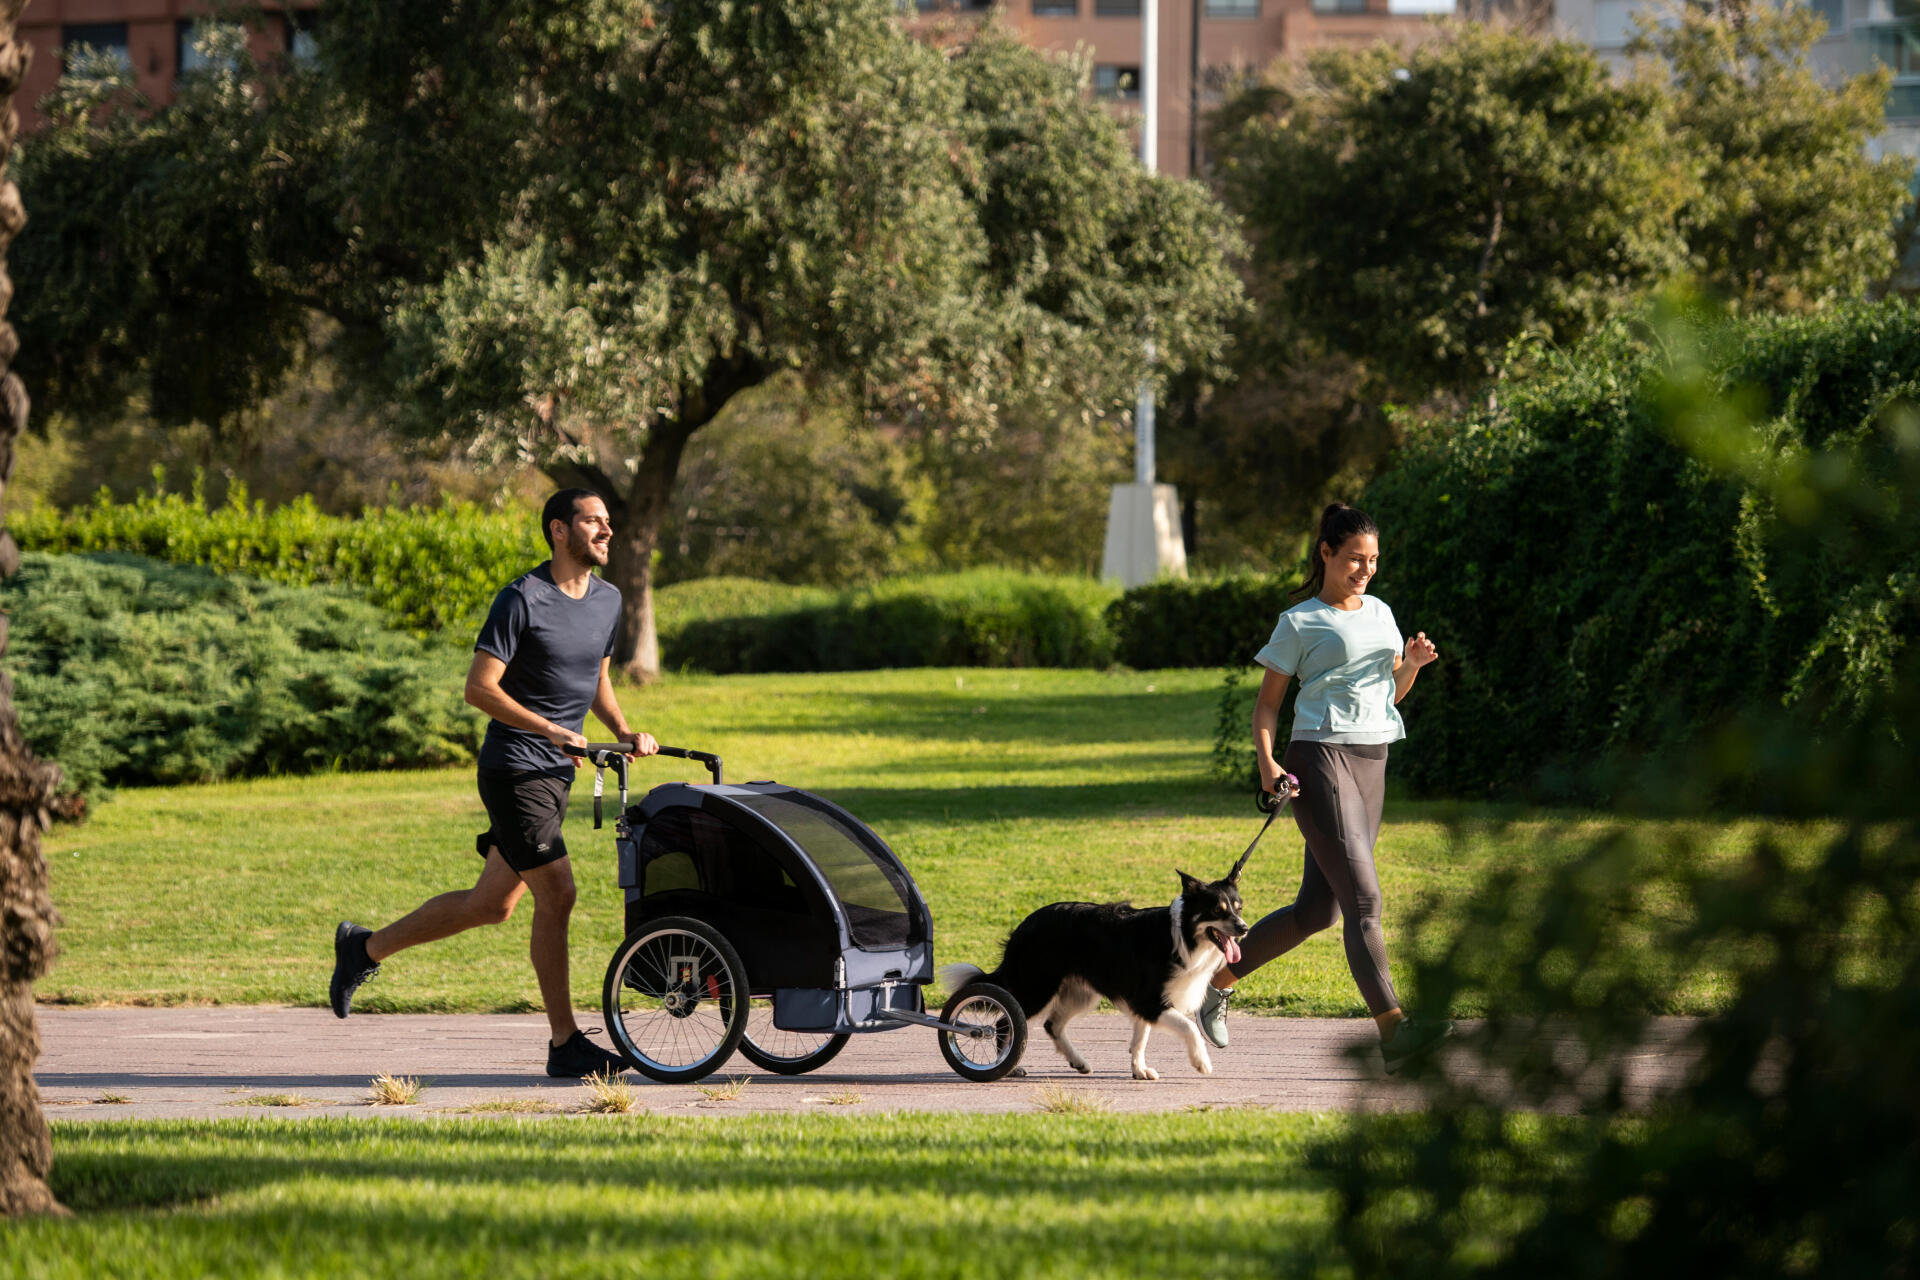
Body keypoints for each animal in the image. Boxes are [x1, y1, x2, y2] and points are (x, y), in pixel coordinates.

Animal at [936, 859, 1251, 1082]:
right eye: (1218, 910)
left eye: (1238, 907)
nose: (1244, 928)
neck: (1182, 936)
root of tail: (1024, 926)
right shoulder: (1149, 1000)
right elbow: (1189, 1028)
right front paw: (1202, 1062)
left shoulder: (1142, 1001)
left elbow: (1140, 1039)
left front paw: (1139, 1070)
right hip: (1037, 987)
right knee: (1005, 1021)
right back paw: (1009, 1066)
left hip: (1079, 992)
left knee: (1052, 1024)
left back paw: (1078, 1061)